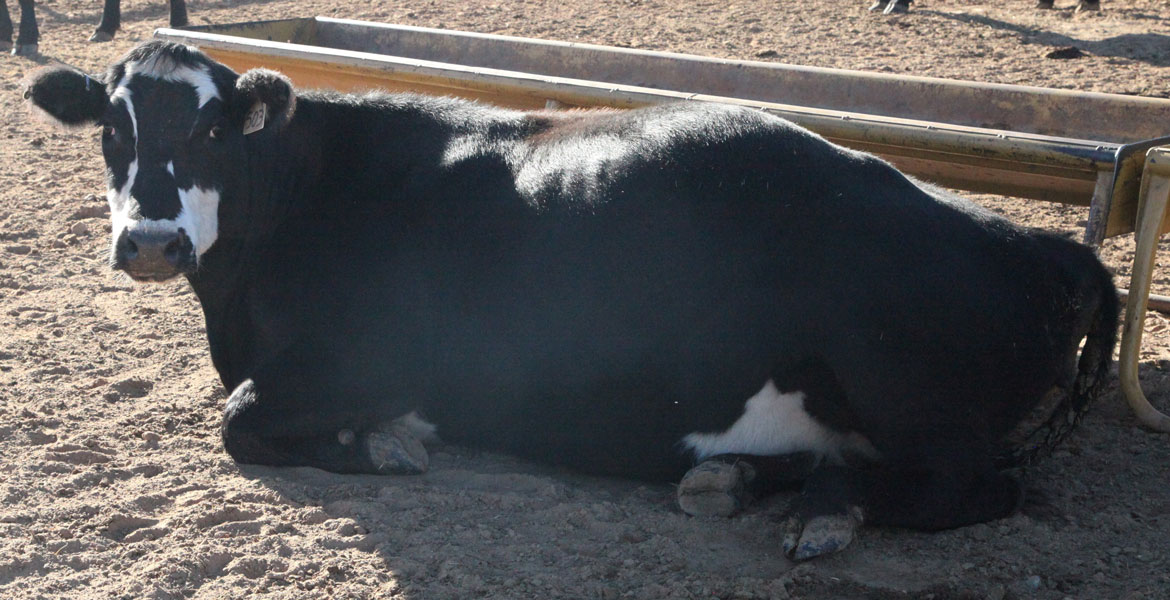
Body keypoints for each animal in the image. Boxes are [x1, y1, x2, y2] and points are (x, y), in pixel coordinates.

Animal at [20, 43, 1113, 561]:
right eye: (112, 129)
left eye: (212, 131)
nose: (151, 241)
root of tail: (1038, 242)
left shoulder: (365, 357)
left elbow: (241, 420)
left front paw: (381, 444)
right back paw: (740, 480)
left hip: (907, 383)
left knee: (973, 488)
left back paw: (825, 512)